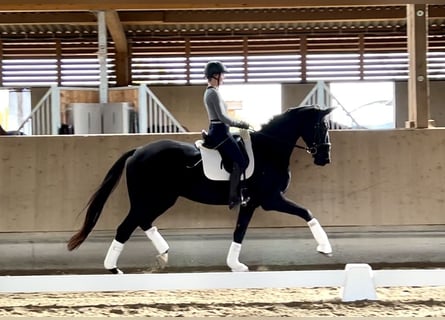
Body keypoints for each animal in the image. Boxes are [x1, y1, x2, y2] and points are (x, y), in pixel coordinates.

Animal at [67, 105, 332, 272]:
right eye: (322, 127)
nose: (325, 159)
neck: (269, 150)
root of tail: (137, 151)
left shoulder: (252, 203)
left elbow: (239, 232)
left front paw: (235, 265)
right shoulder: (271, 199)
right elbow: (307, 212)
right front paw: (325, 248)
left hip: (160, 199)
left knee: (142, 221)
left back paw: (163, 253)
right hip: (153, 198)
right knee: (126, 227)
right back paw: (114, 269)